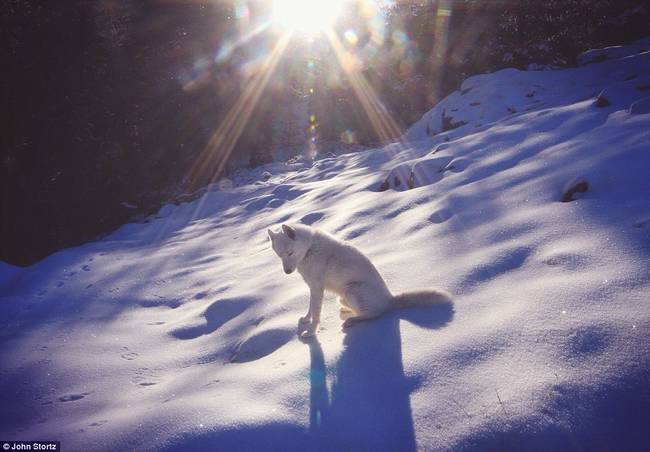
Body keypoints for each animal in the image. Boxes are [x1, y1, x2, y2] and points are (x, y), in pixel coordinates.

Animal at [268, 222, 450, 336]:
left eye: (290, 253)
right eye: (279, 255)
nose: (287, 272)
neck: (309, 248)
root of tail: (390, 298)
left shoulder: (317, 288)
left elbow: (316, 313)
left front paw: (311, 333)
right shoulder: (312, 288)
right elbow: (310, 309)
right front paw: (306, 319)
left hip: (352, 289)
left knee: (373, 315)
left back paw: (351, 320)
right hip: (342, 296)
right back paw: (347, 312)